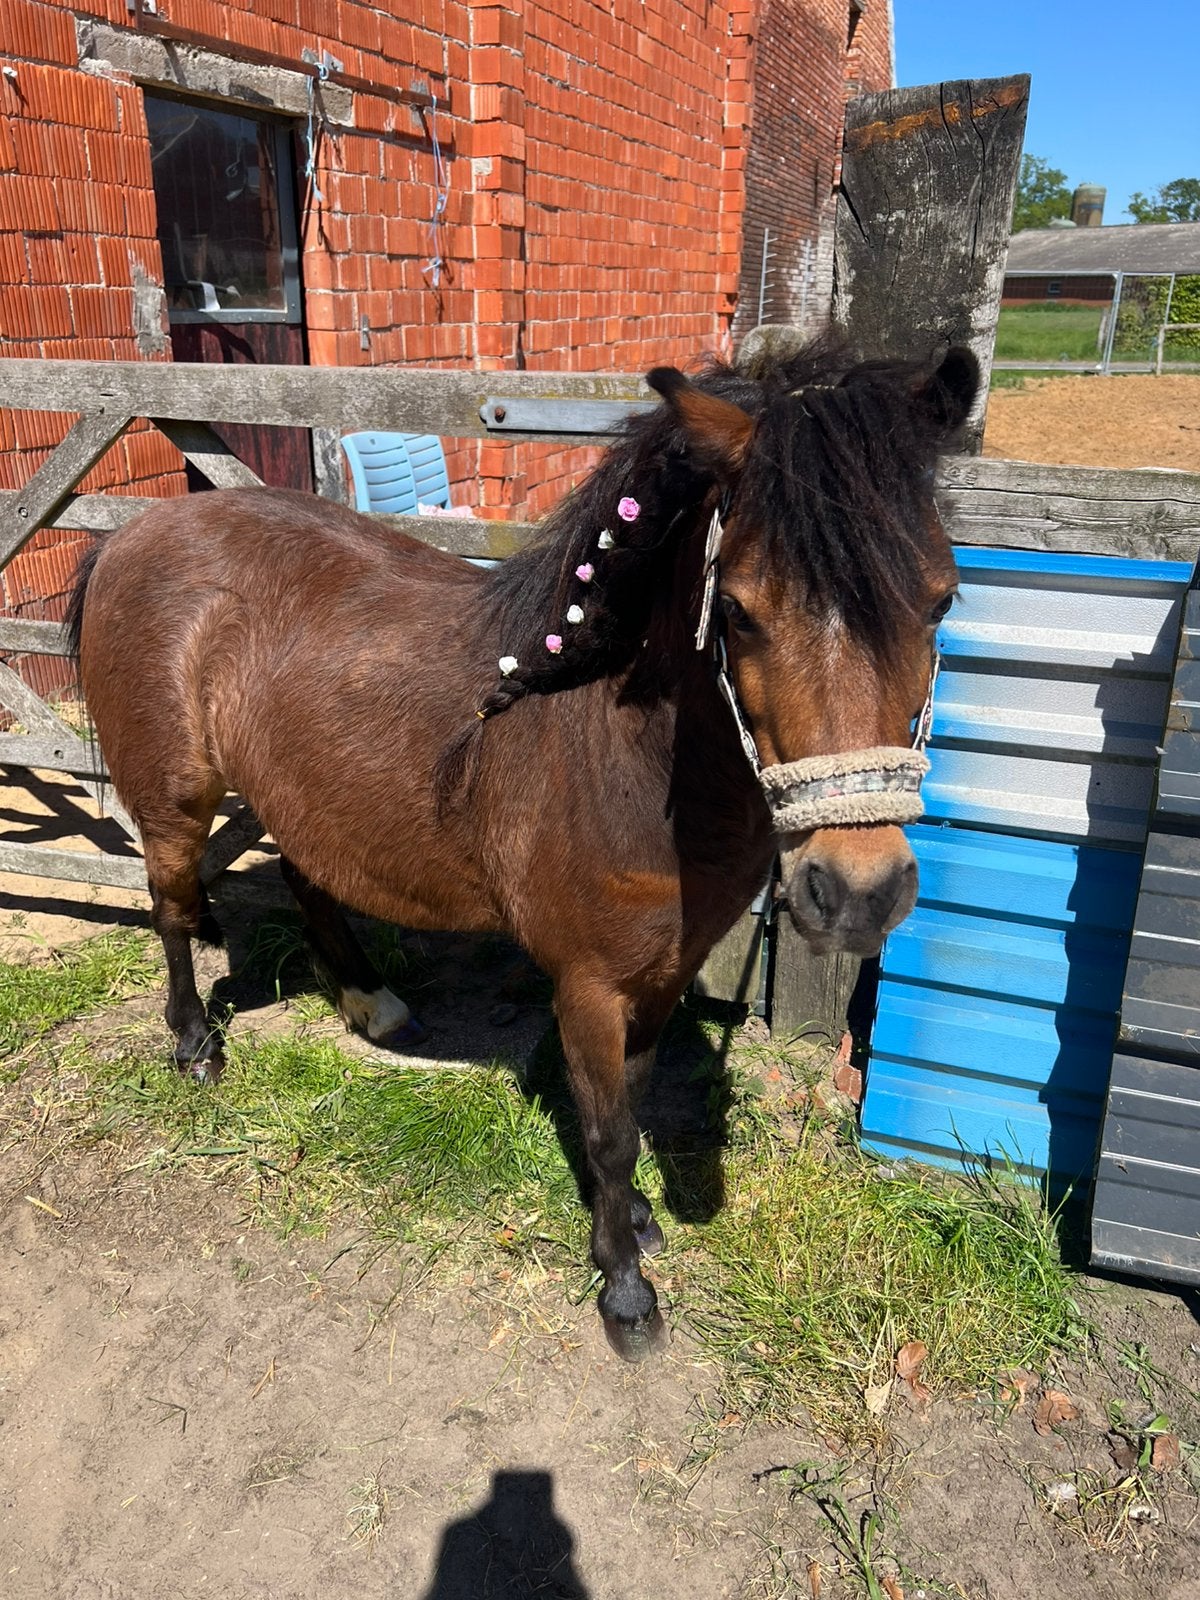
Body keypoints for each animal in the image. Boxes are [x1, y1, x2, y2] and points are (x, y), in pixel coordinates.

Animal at [67, 339, 979, 1361]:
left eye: (941, 600)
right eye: (739, 611)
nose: (857, 892)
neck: (618, 751)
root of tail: (130, 535)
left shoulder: (662, 974)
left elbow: (629, 1101)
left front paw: (634, 1224)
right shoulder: (586, 984)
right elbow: (610, 1132)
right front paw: (626, 1289)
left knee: (309, 880)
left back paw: (371, 1004)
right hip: (176, 801)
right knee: (172, 904)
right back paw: (194, 1047)